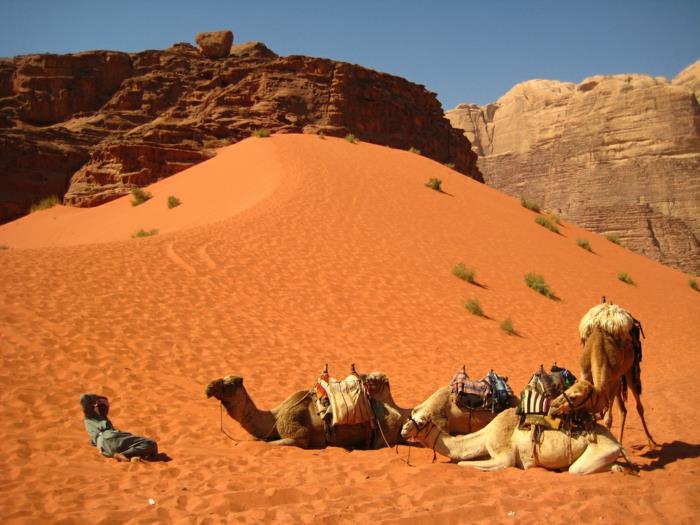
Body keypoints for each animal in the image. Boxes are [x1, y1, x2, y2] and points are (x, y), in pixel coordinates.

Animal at [556, 298, 660, 446]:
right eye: (567, 390)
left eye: (574, 397)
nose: (554, 406)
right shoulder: (586, 373)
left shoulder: (613, 379)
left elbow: (608, 419)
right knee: (623, 409)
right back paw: (621, 442)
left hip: (628, 371)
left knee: (638, 405)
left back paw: (650, 441)